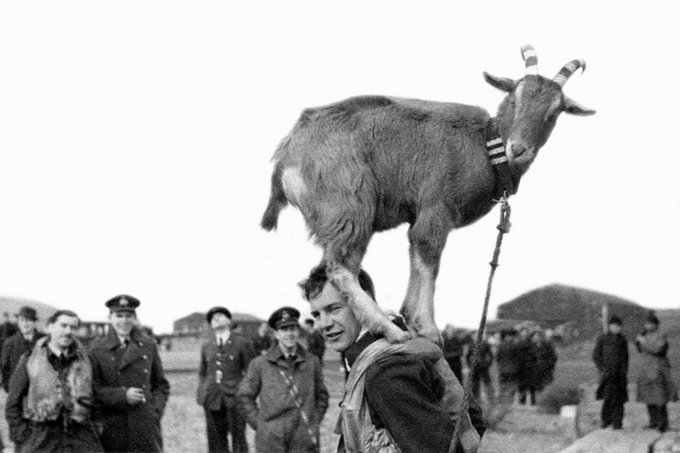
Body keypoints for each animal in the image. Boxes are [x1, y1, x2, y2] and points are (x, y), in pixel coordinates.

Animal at [261, 45, 594, 344]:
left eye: (554, 113)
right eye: (515, 98)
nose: (519, 149)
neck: (485, 145)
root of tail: (287, 156)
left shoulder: (418, 213)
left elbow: (415, 252)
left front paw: (410, 316)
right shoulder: (437, 206)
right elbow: (429, 253)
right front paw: (429, 328)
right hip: (348, 204)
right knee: (339, 267)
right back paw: (388, 329)